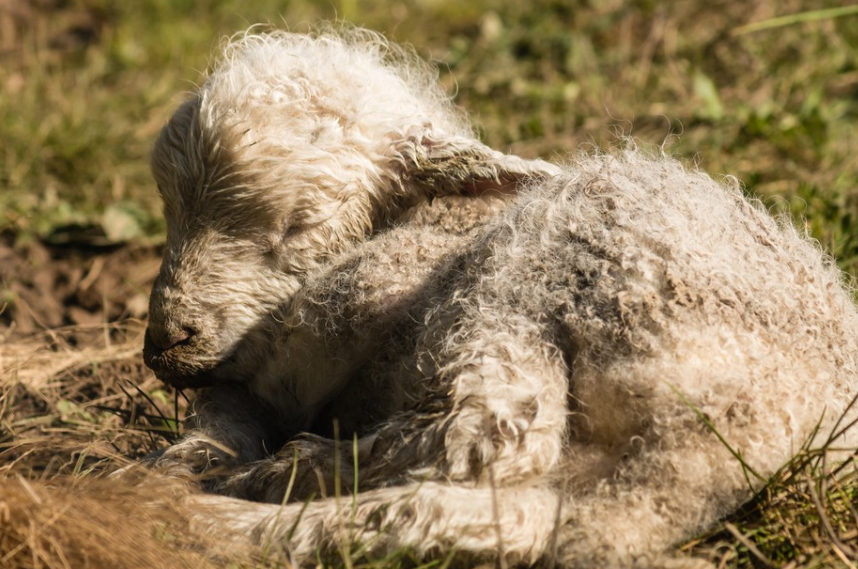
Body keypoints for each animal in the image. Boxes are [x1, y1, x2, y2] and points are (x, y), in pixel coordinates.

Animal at [137, 27, 856, 568]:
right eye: (170, 211)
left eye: (300, 224)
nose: (163, 343)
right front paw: (178, 461)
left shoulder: (343, 307)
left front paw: (198, 465)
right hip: (598, 474)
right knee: (494, 510)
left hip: (533, 278)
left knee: (484, 436)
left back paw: (241, 496)